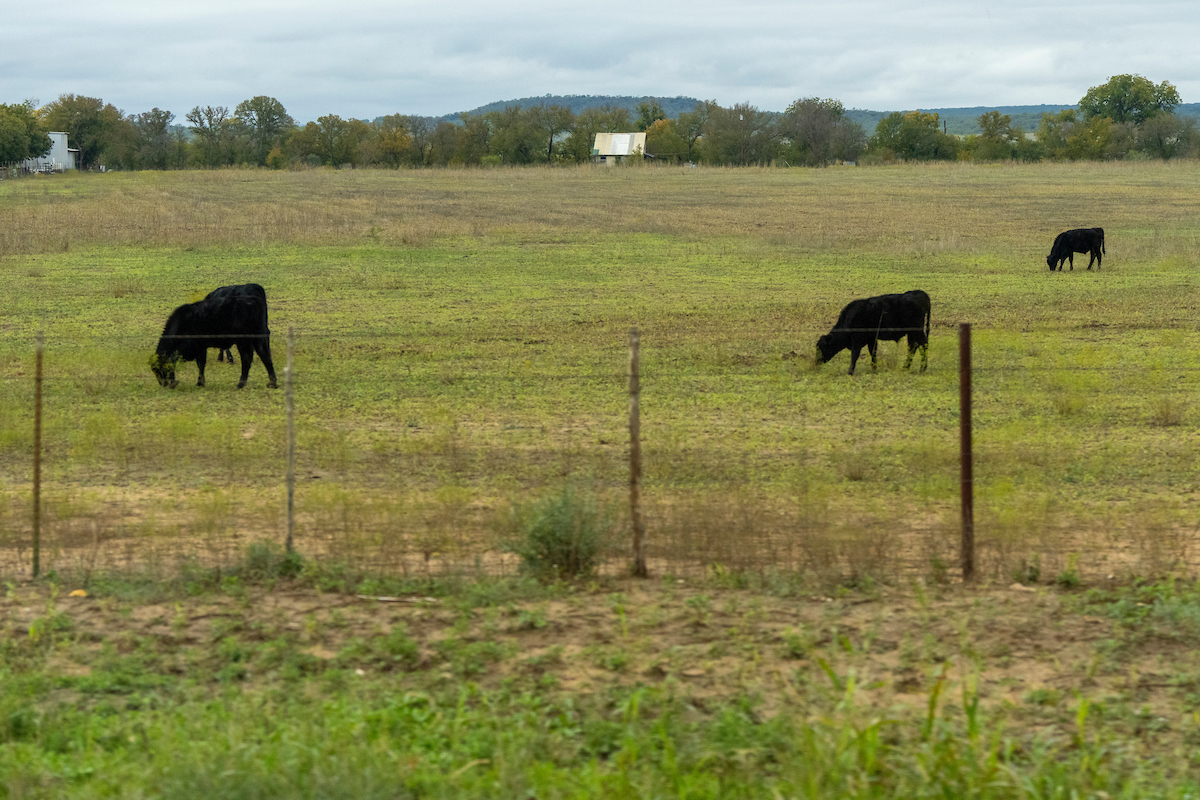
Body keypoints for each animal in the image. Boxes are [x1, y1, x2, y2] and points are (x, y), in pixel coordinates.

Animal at [148, 286, 277, 388]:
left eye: (157, 368)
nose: (162, 383)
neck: (182, 322)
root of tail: (252, 299)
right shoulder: (200, 347)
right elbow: (199, 364)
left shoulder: (194, 347)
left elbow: (195, 363)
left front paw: (193, 382)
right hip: (258, 337)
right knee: (265, 355)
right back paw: (272, 383)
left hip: (243, 341)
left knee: (247, 358)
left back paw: (241, 383)